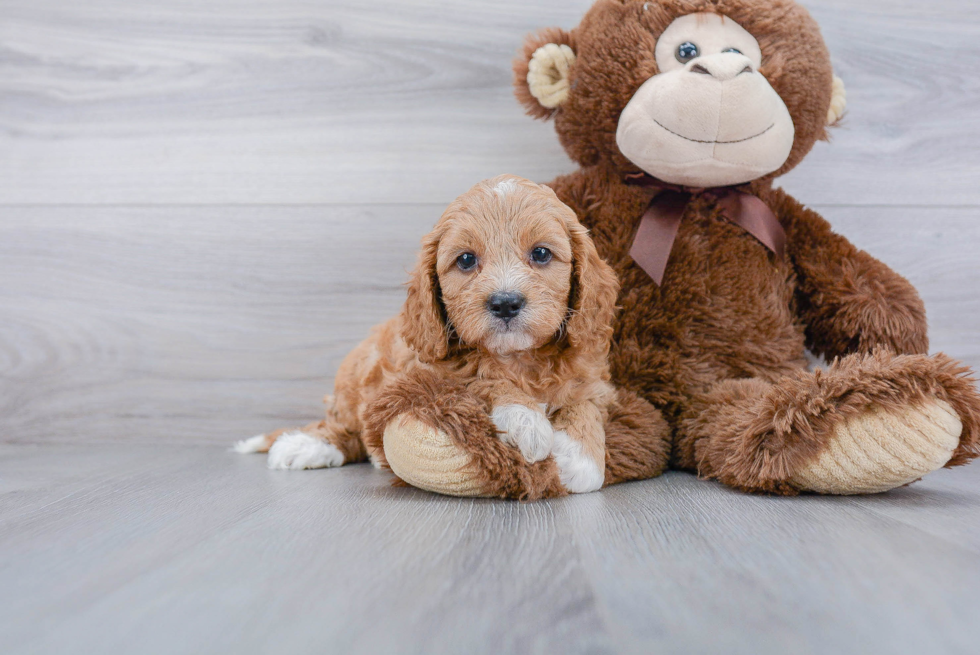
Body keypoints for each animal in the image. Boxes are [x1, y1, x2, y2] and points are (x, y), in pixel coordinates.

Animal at [235, 174, 620, 492]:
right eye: (465, 260)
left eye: (541, 253)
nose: (505, 303)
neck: (517, 358)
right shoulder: (429, 372)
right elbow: (479, 377)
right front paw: (526, 419)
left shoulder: (592, 375)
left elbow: (584, 405)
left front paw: (578, 459)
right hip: (354, 380)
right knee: (344, 429)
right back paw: (305, 445)